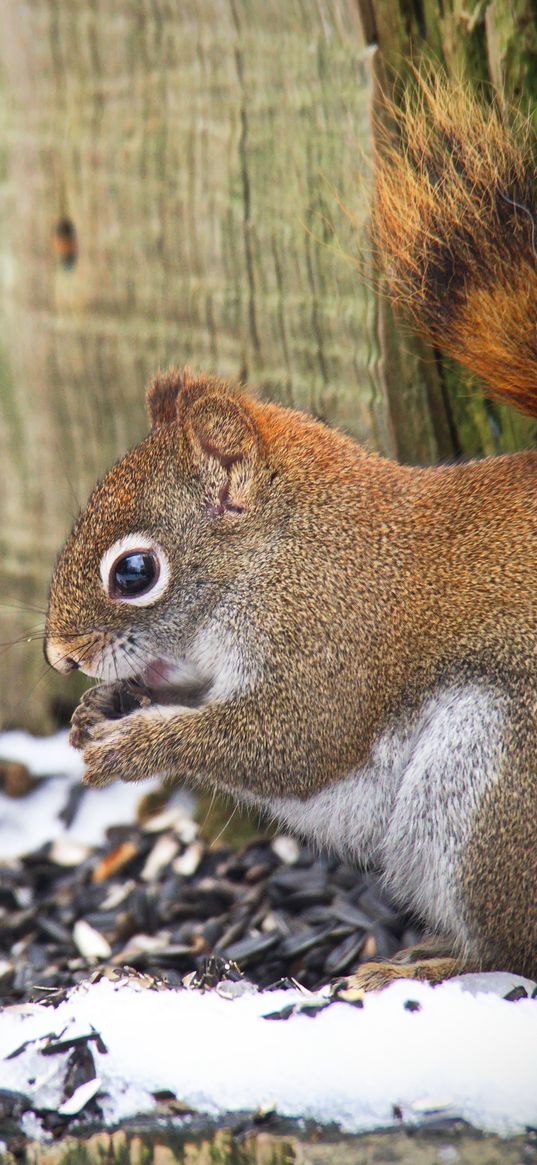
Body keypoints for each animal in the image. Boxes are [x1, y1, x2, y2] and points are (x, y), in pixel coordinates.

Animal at [43, 79, 533, 992]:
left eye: (133, 572)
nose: (60, 658)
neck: (282, 548)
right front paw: (102, 706)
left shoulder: (332, 634)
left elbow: (289, 740)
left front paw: (135, 744)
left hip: (499, 786)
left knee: (512, 943)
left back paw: (424, 966)